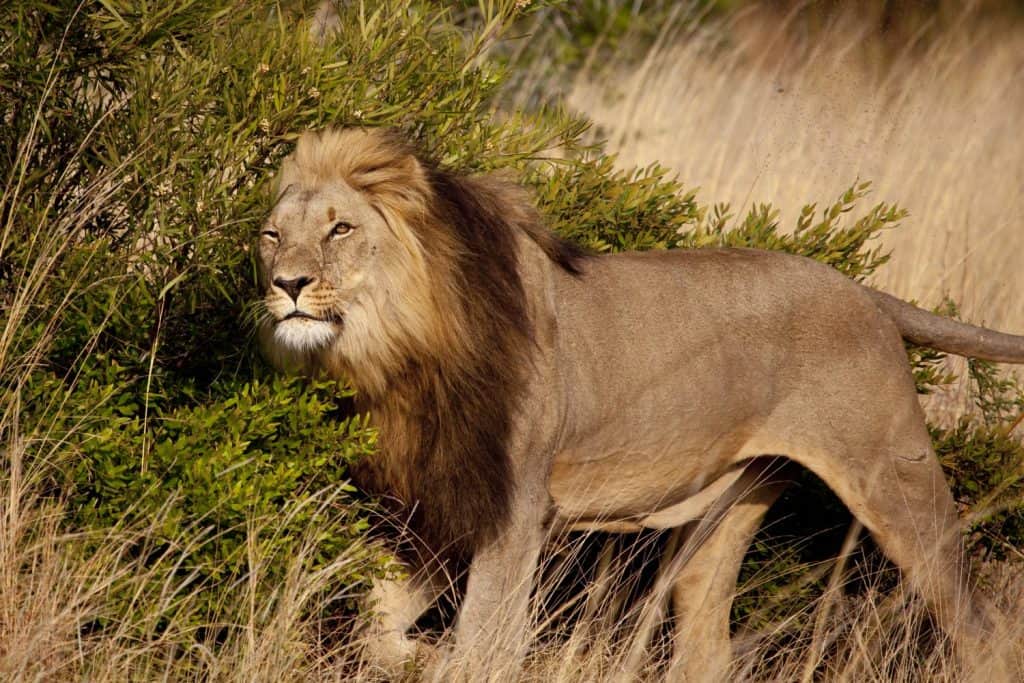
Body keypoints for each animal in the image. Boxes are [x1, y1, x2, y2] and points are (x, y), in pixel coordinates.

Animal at [257, 127, 1024, 680]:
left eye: (341, 229)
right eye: (271, 234)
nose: (285, 284)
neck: (398, 350)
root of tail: (862, 289)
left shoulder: (514, 505)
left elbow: (483, 642)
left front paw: (448, 658)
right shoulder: (446, 500)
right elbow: (378, 622)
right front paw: (416, 654)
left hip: (894, 479)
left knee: (980, 628)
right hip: (729, 508)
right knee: (704, 651)